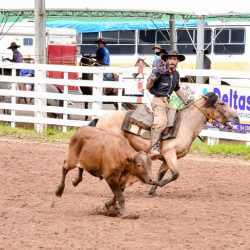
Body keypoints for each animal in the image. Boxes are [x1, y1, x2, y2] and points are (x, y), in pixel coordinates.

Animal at [86, 92, 240, 195]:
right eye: (222, 103)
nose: (237, 117)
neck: (185, 125)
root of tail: (100, 119)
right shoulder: (170, 153)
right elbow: (176, 174)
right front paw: (157, 184)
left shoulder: (167, 157)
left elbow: (162, 173)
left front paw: (153, 190)